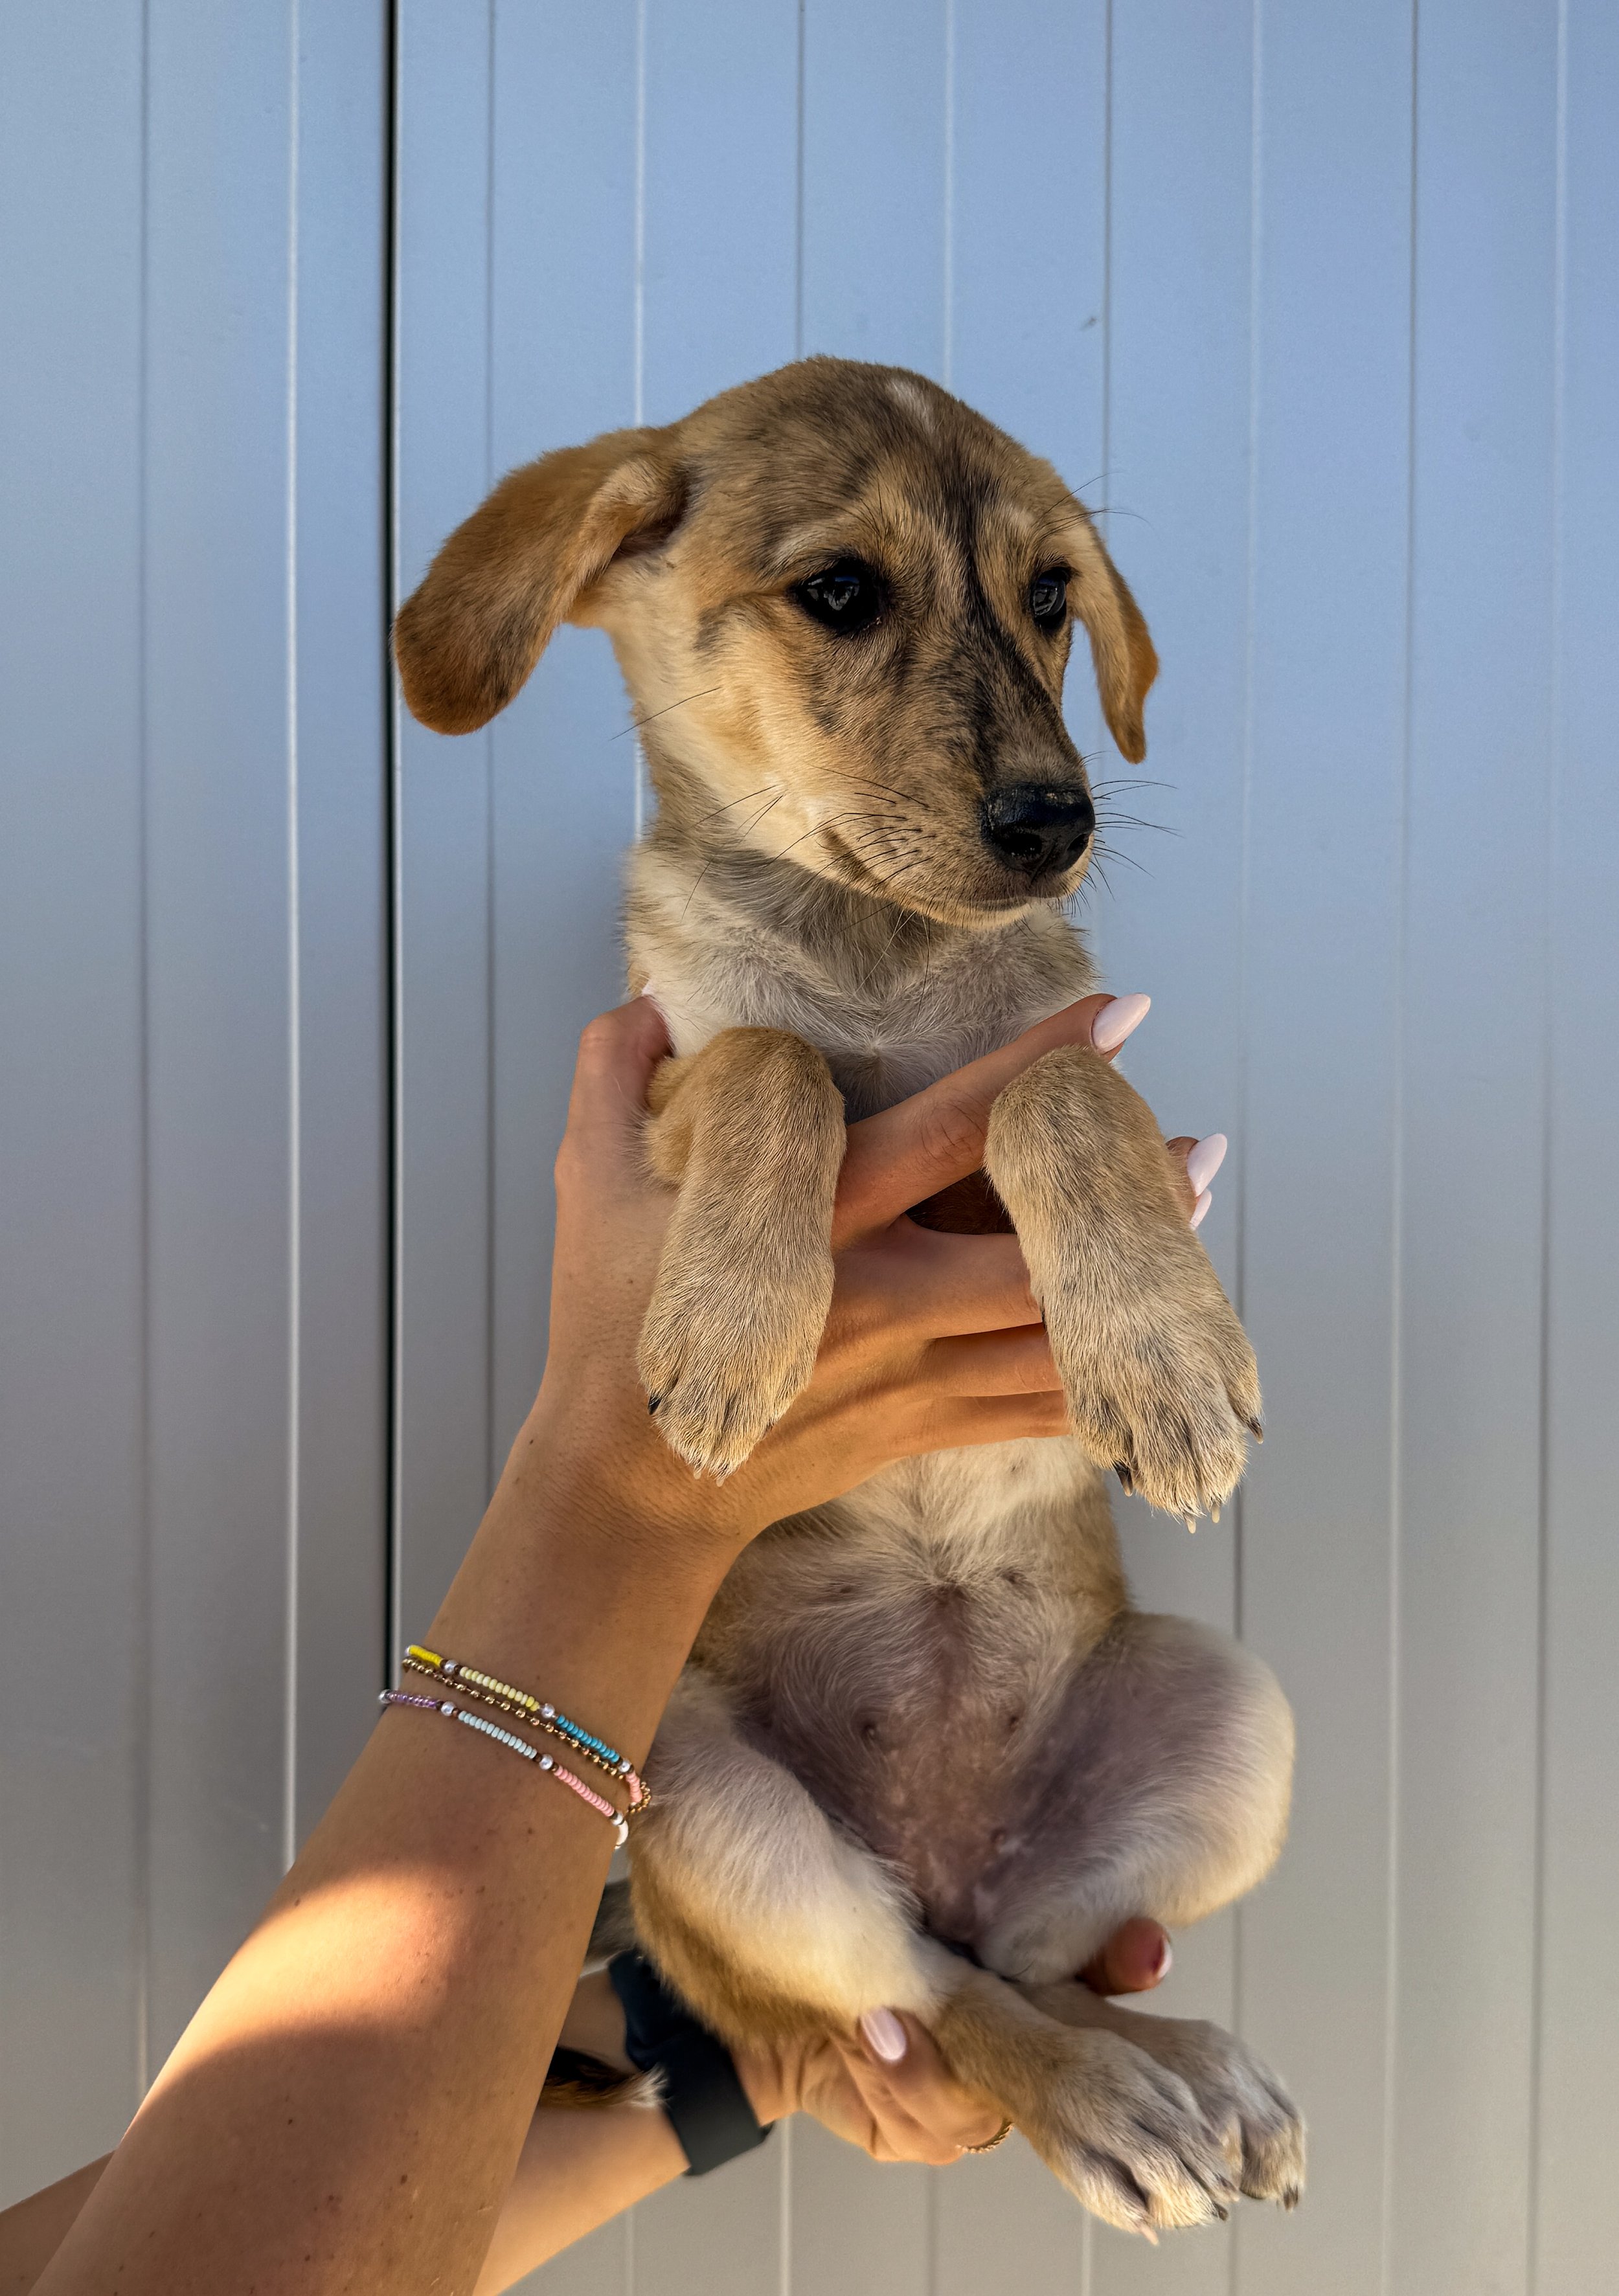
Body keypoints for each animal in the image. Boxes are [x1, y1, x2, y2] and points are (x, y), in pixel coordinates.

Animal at [395, 357, 1304, 2237]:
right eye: (836, 591)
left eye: (1051, 598)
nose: (1056, 824)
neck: (868, 947)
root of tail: (929, 1853)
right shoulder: (674, 1079)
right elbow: (774, 1063)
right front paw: (737, 1323)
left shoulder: (1070, 1076)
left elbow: (1056, 1086)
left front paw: (1163, 1353)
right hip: (704, 1805)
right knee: (938, 2002)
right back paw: (1112, 2099)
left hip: (1230, 1723)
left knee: (1014, 1966)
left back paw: (1176, 2067)